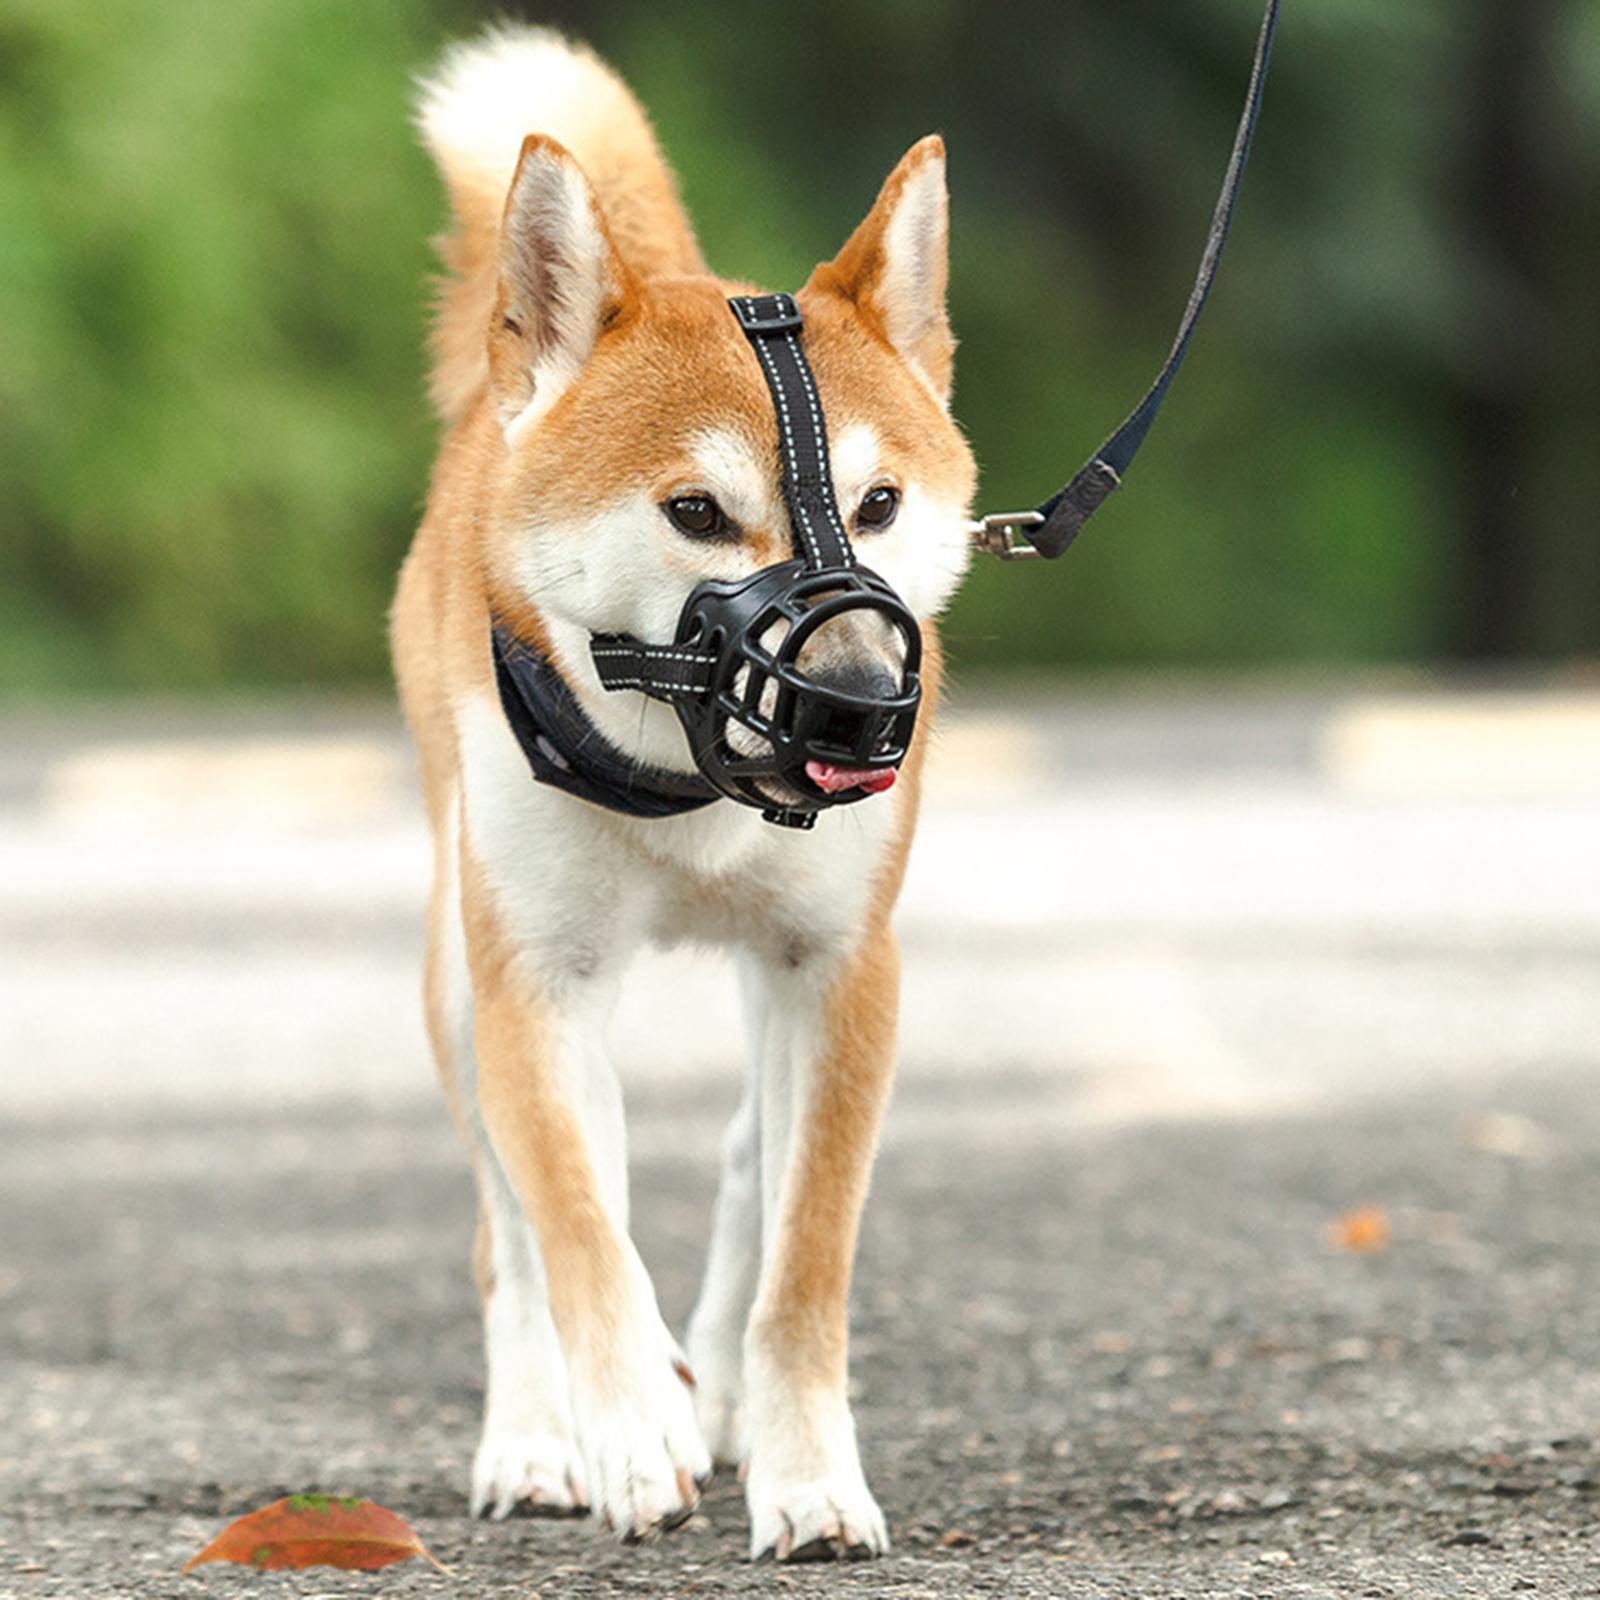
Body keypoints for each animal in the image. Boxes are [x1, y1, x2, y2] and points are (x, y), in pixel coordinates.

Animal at [391, 24, 974, 1561]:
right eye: (698, 513)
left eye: (879, 506)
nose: (858, 701)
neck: (684, 780)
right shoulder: (535, 979)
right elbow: (581, 1233)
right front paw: (628, 1431)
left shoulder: (841, 966)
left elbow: (803, 1264)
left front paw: (807, 1473)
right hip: (458, 979)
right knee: (513, 1234)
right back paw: (543, 1436)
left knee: (742, 1157)